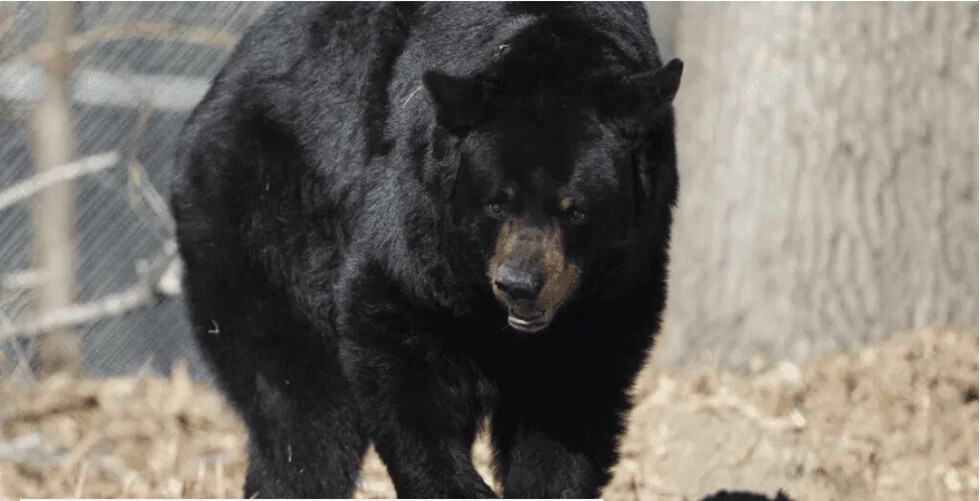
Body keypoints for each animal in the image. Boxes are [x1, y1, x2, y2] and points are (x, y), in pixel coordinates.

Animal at [171, 2, 682, 498]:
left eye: (574, 210)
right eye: (496, 202)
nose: (520, 285)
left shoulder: (619, 284)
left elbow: (572, 405)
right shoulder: (418, 220)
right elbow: (394, 335)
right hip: (268, 225)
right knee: (304, 412)